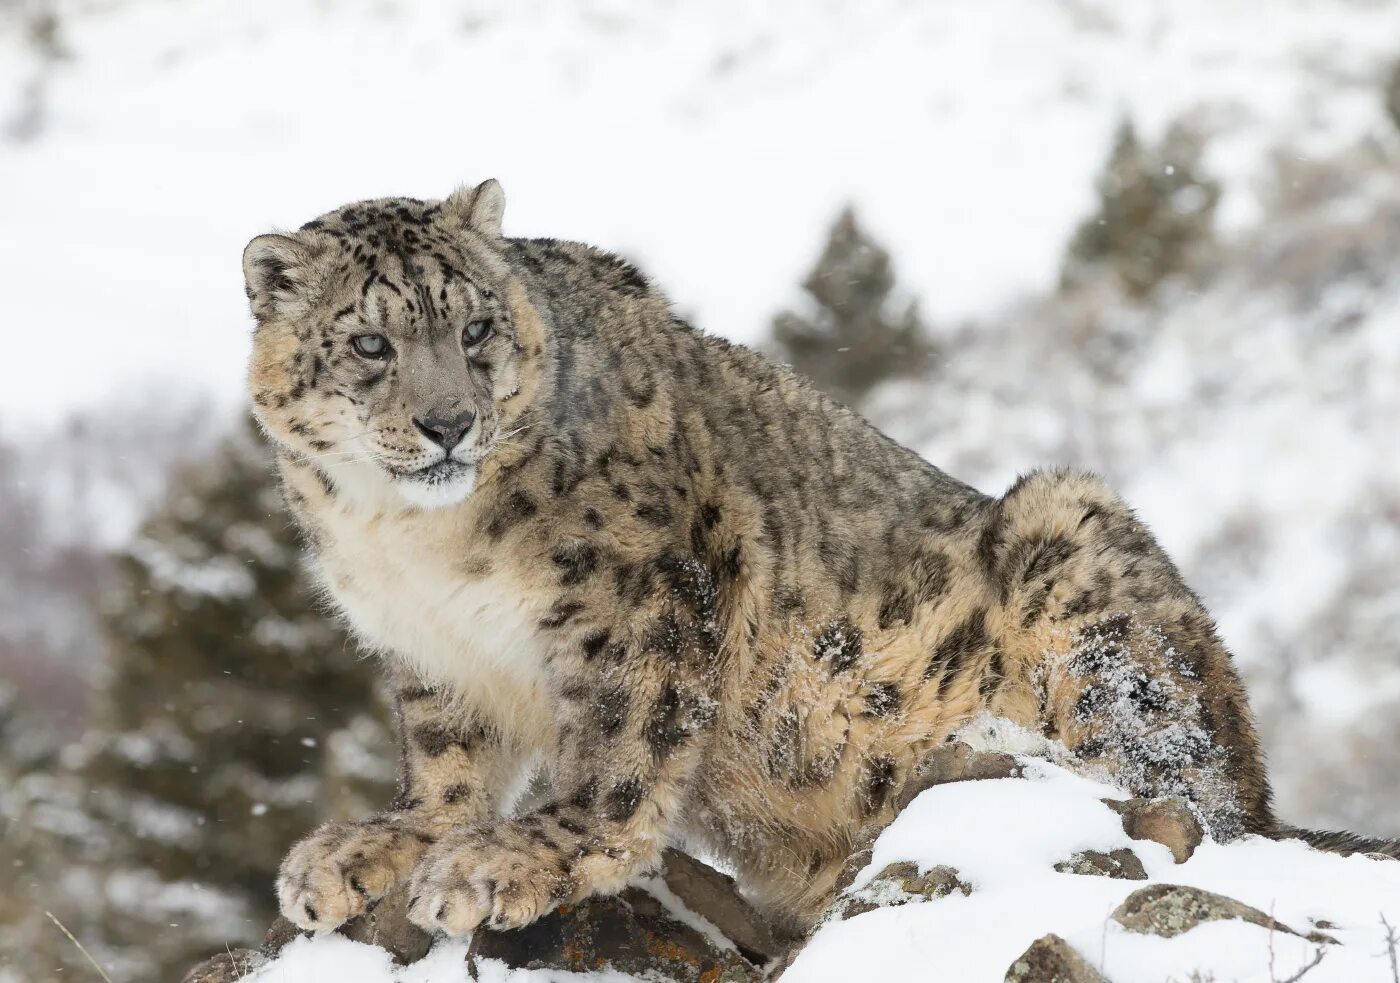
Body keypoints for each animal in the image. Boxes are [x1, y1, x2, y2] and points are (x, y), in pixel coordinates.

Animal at [243, 179, 1400, 946]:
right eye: (370, 343)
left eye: (478, 326)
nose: (448, 423)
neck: (412, 542)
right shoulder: (431, 653)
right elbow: (445, 762)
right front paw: (374, 847)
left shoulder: (643, 592)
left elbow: (619, 746)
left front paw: (512, 857)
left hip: (1080, 554)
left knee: (1176, 790)